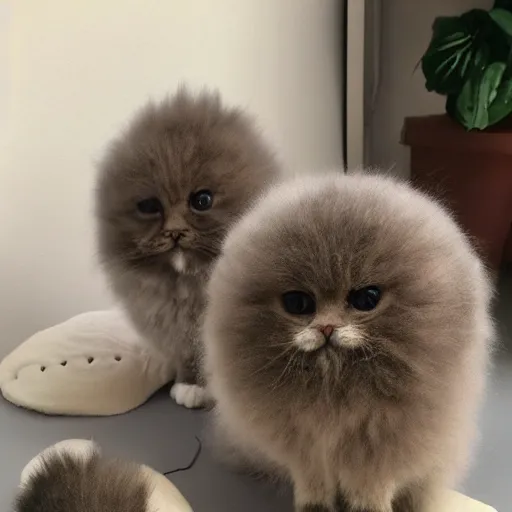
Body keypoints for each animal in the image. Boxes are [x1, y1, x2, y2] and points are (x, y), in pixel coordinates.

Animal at [96, 88, 280, 408]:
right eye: (149, 207)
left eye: (202, 201)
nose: (174, 232)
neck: (189, 287)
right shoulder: (176, 337)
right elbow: (189, 361)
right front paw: (190, 386)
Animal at [204, 173, 496, 512]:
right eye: (298, 303)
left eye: (366, 299)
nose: (327, 327)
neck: (337, 395)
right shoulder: (306, 451)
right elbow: (313, 486)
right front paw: (314, 507)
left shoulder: (377, 453)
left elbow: (370, 491)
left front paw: (368, 508)